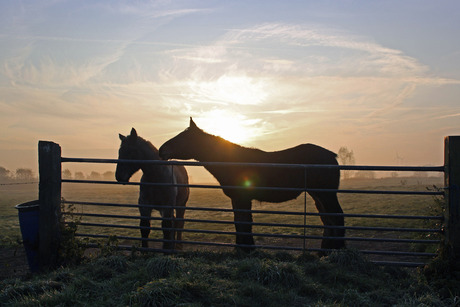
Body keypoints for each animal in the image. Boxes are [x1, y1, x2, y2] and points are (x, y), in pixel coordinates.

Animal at [161, 118, 344, 253]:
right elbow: (239, 222)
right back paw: (325, 251)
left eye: (184, 138)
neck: (233, 161)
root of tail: (331, 156)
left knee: (337, 217)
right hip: (318, 195)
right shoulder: (237, 199)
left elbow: (245, 223)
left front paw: (248, 248)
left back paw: (337, 250)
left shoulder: (243, 198)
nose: (162, 150)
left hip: (326, 195)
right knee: (328, 220)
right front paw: (241, 248)